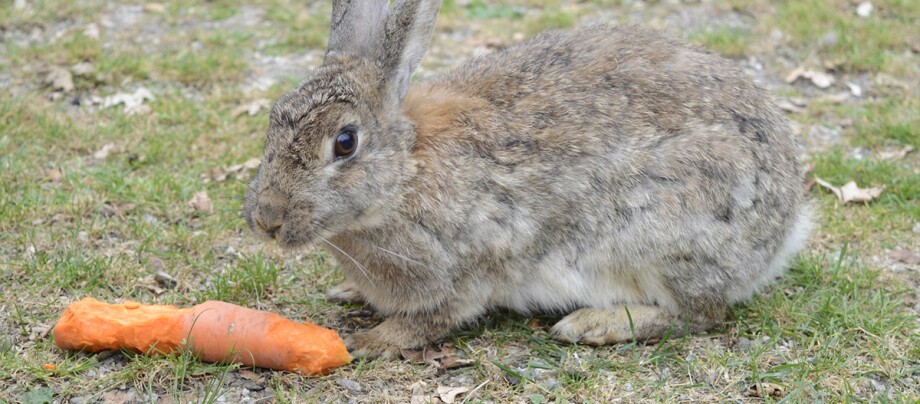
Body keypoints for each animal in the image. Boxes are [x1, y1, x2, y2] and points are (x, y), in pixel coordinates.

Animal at [243, 0, 812, 360]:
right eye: (273, 118)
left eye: (345, 142)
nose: (267, 221)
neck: (405, 174)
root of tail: (786, 227)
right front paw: (347, 292)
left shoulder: (461, 272)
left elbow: (430, 320)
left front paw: (372, 341)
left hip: (667, 231)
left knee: (700, 314)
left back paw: (594, 324)